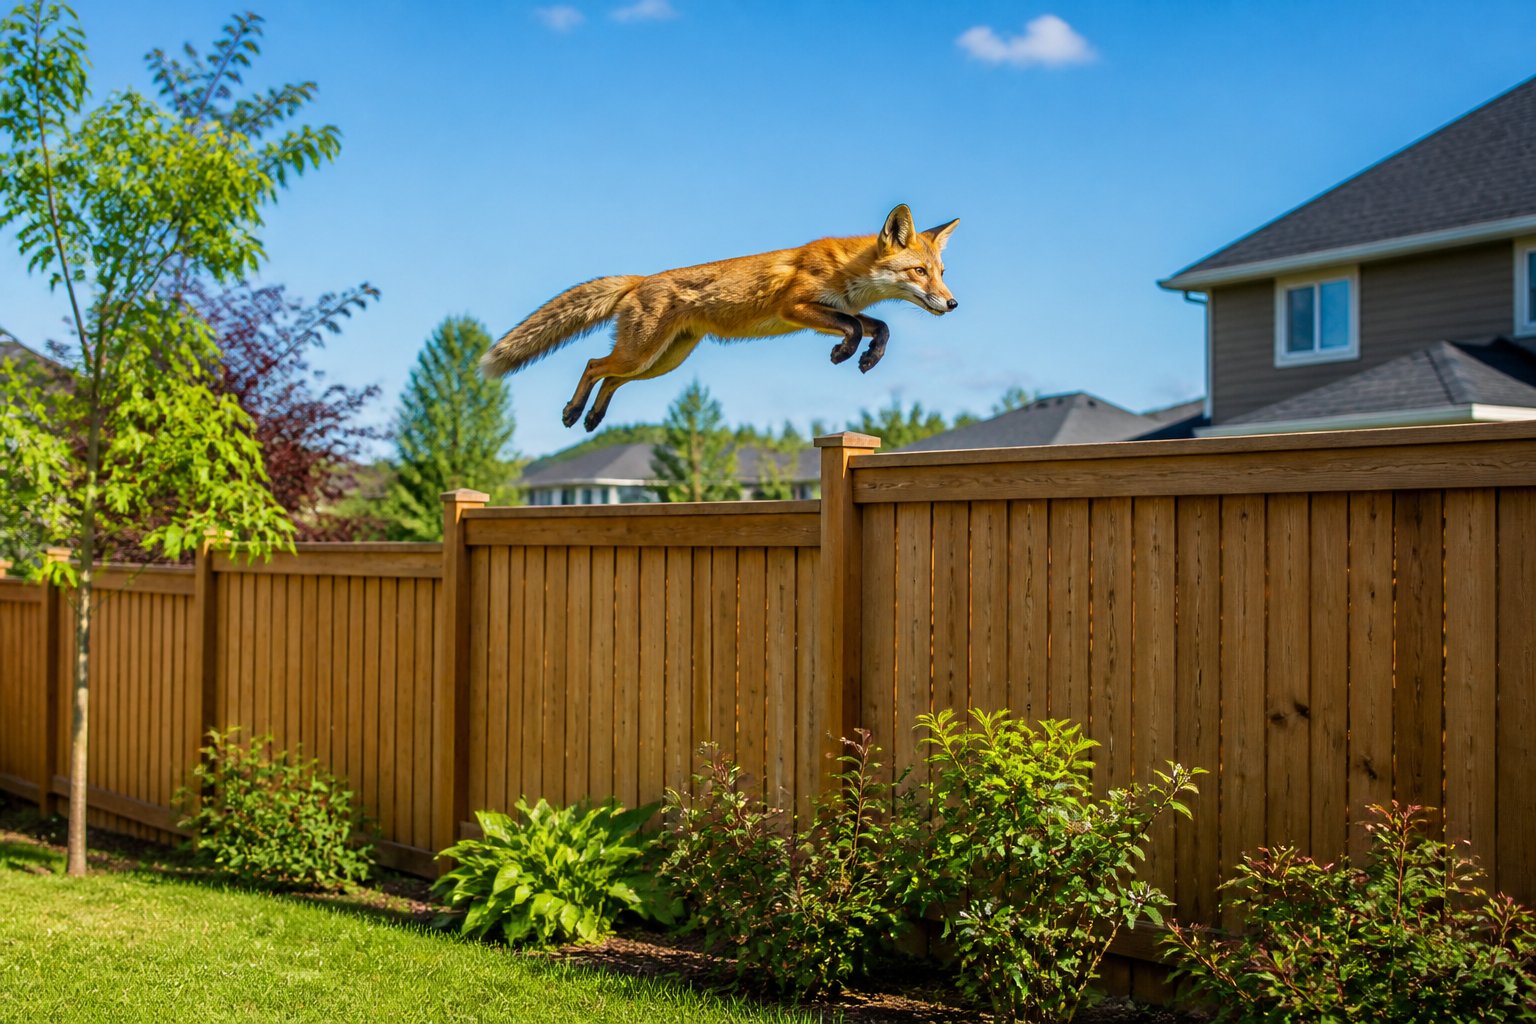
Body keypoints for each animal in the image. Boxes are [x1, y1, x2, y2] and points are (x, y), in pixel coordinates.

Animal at [480, 204, 959, 431]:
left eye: (941, 272)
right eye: (919, 272)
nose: (952, 304)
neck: (846, 270)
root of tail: (641, 279)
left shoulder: (835, 309)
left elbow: (880, 326)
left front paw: (869, 357)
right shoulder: (796, 308)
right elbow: (858, 325)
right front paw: (845, 352)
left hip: (662, 362)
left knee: (611, 378)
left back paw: (594, 417)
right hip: (642, 354)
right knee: (594, 365)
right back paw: (574, 411)